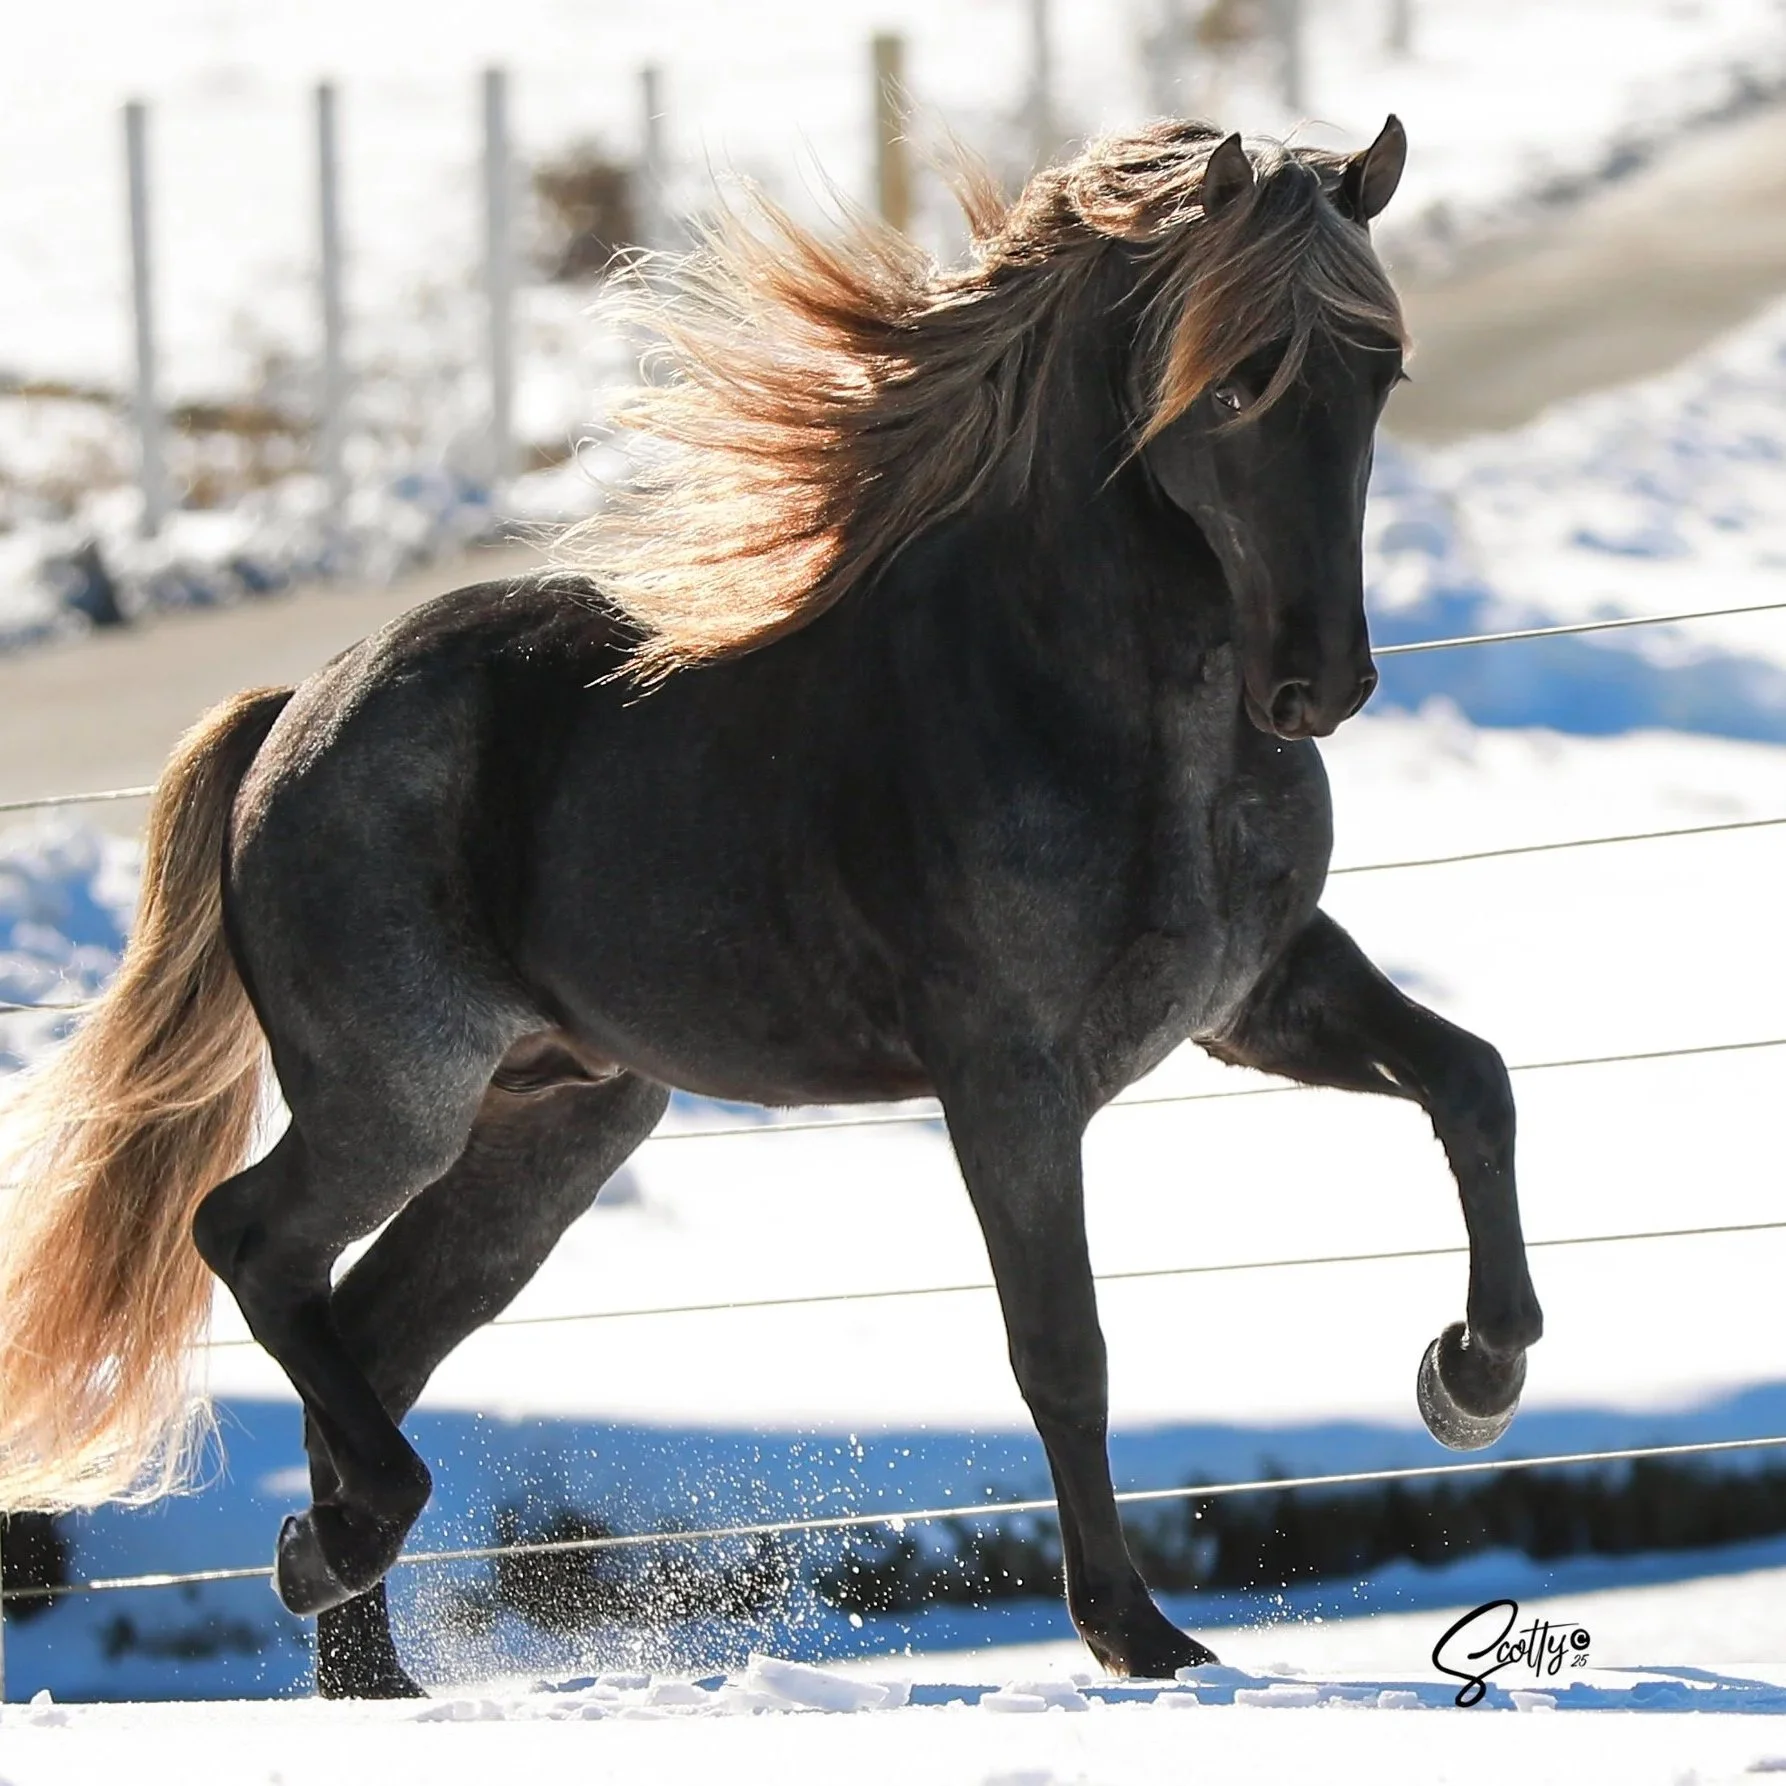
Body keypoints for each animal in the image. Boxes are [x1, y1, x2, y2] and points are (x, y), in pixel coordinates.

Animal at [0, 117, 1542, 1697]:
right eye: (1232, 382)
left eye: (1378, 372)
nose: (1320, 685)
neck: (1112, 714)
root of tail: (291, 713)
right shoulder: (1008, 1081)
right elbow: (1063, 1351)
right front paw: (1139, 1634)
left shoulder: (1255, 992)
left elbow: (1469, 1080)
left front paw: (1468, 1376)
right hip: (397, 1099)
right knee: (254, 1244)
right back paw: (340, 1546)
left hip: (552, 1128)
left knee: (367, 1327)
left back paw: (365, 1648)